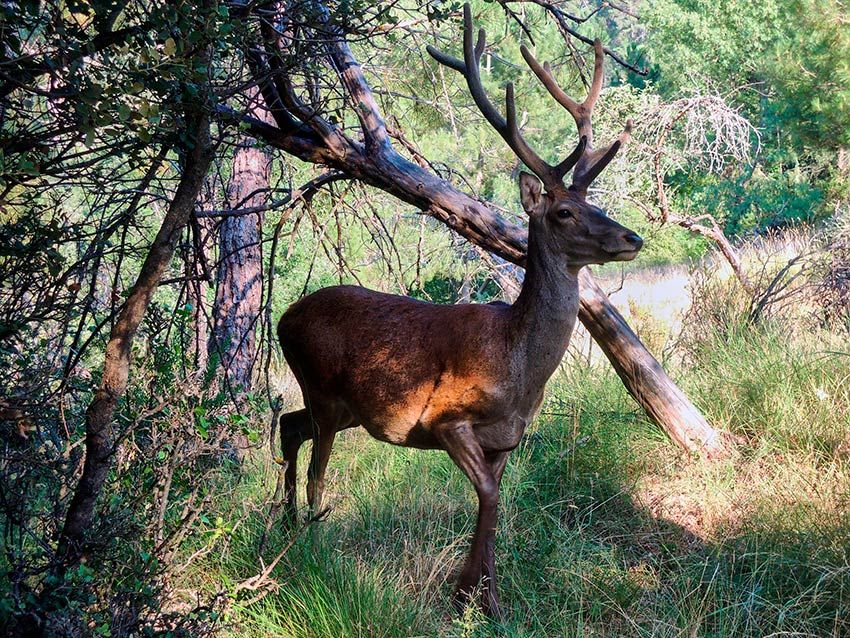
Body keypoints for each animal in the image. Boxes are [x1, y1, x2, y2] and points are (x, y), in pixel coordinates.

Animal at [274, 3, 640, 620]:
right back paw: (308, 540)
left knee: (286, 424)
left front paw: (489, 597)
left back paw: (286, 522)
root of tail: (281, 317)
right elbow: (489, 501)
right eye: (564, 212)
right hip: (321, 389)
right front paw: (468, 595)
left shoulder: (506, 439)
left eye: (594, 202)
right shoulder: (446, 417)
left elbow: (494, 506)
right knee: (315, 459)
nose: (632, 238)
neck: (518, 366)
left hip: (344, 406)